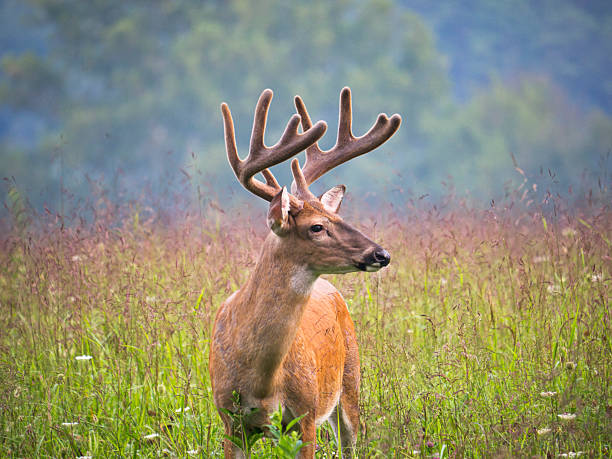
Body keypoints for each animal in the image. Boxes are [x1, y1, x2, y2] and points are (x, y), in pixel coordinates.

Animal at [210, 85, 402, 456]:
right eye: (316, 227)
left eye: (339, 217)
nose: (381, 254)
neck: (261, 380)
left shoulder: (305, 416)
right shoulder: (230, 421)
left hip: (351, 382)